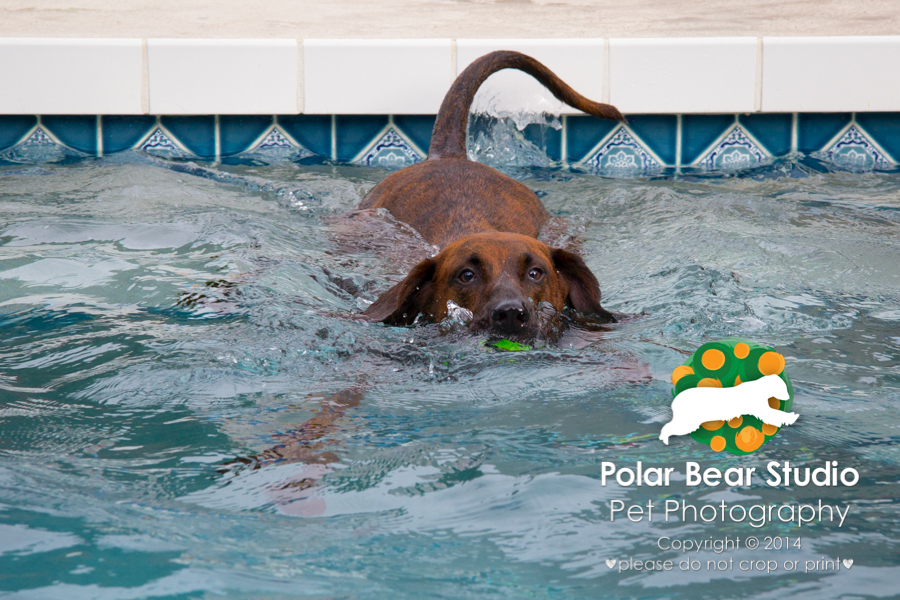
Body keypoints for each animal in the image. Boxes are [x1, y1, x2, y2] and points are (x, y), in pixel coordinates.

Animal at [656, 376, 800, 446]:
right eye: (783, 388)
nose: (788, 397)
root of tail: (675, 402)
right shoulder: (754, 402)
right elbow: (768, 414)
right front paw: (792, 417)